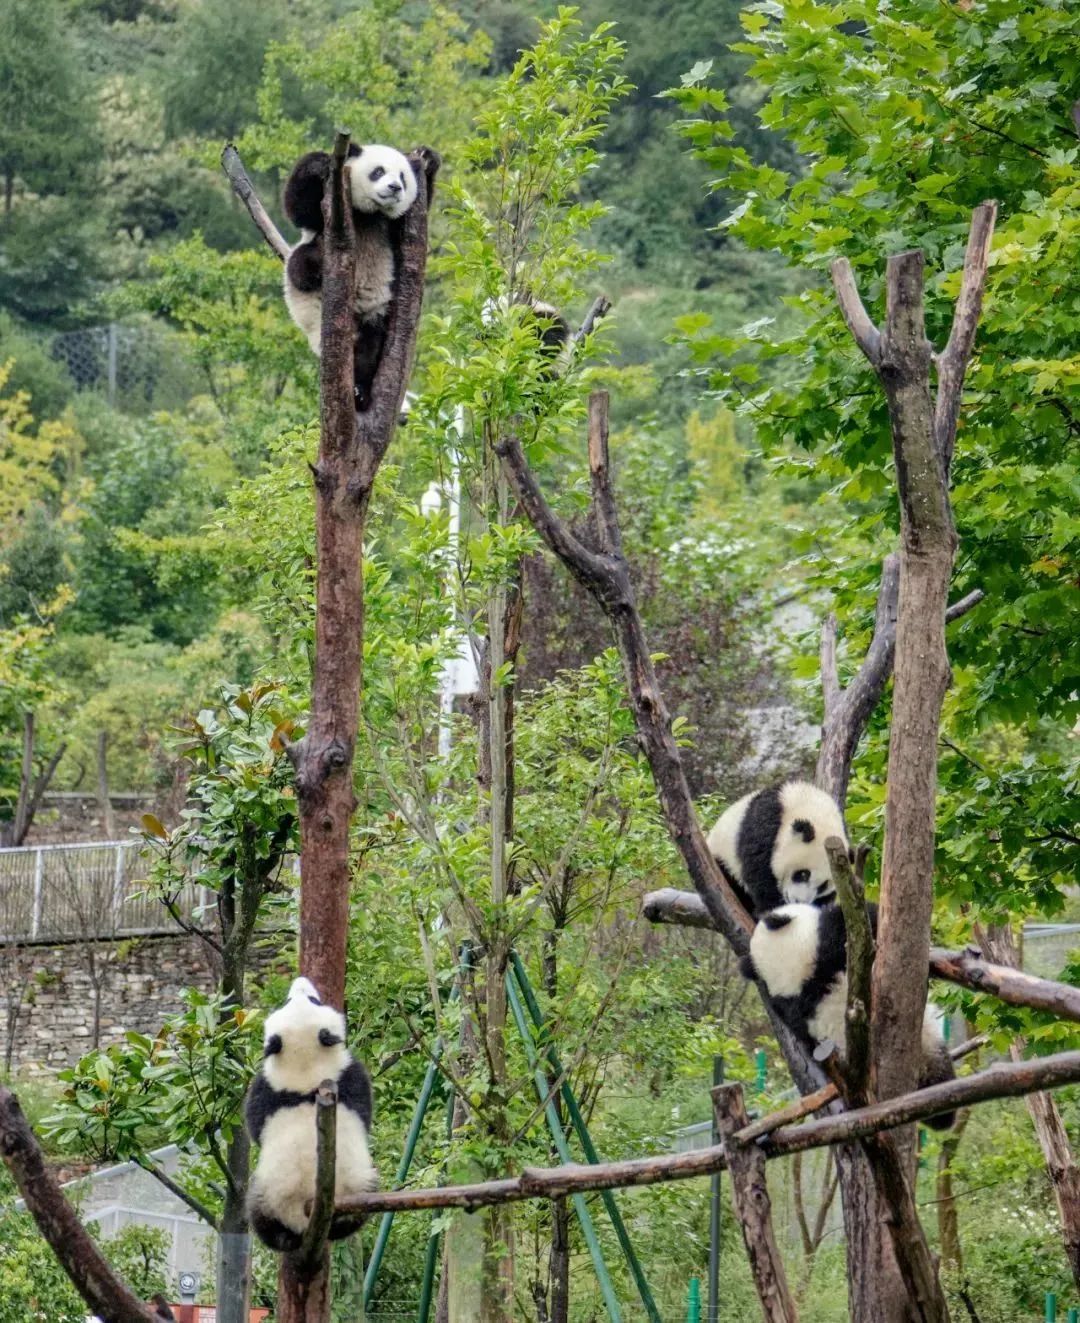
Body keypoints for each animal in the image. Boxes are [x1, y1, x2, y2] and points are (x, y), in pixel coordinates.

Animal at [244, 973, 378, 1248]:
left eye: (314, 1000)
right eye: (287, 1001)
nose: (301, 980)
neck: (307, 1069)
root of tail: (305, 1214)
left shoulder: (346, 1074)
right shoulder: (270, 1087)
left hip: (356, 1187)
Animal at [283, 142, 420, 410]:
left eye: (402, 177)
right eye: (378, 171)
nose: (395, 187)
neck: (369, 214)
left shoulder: (392, 225)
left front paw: (429, 160)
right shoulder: (329, 210)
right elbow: (299, 210)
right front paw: (321, 162)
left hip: (373, 315)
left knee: (369, 350)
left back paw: (359, 391)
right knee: (299, 264)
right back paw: (314, 267)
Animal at [709, 772, 852, 920]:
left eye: (823, 886)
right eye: (803, 874)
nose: (798, 901)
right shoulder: (765, 823)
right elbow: (759, 869)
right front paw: (773, 908)